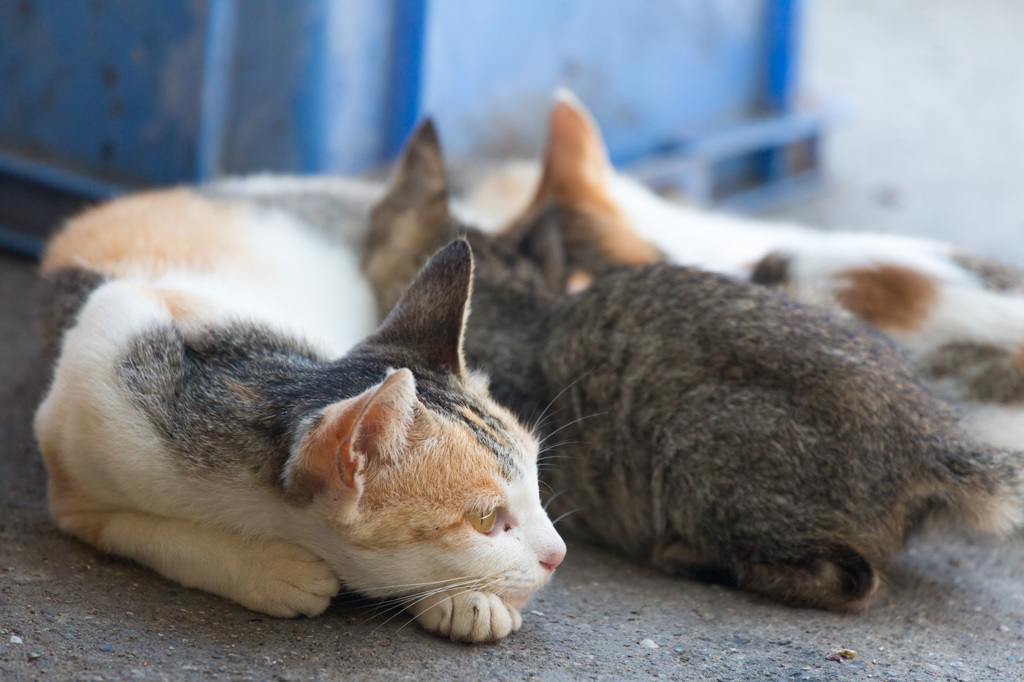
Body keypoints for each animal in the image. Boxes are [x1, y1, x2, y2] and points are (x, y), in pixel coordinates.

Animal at [29, 184, 569, 638]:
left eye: (536, 478)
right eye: (484, 519)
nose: (559, 555)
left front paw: (467, 601)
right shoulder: (79, 466)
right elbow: (150, 533)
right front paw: (269, 569)